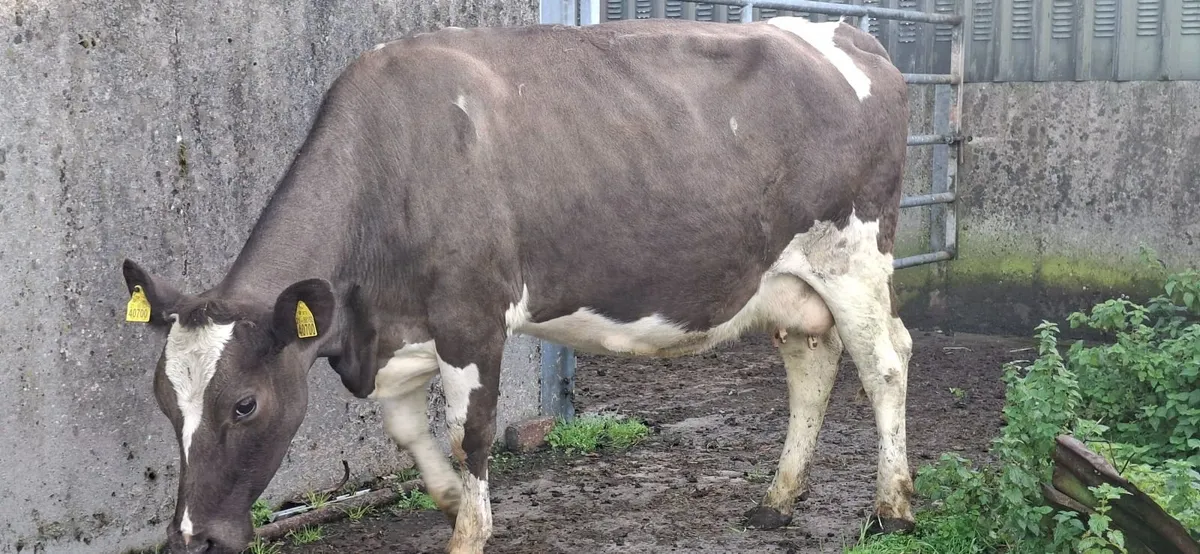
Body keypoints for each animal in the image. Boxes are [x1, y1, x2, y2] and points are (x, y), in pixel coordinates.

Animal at [120, 15, 913, 554]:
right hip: (787, 282)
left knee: (885, 363)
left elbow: (469, 433)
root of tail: (849, 33)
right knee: (811, 366)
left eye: (245, 404)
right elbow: (410, 430)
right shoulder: (398, 335)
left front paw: (470, 531)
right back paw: (778, 499)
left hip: (853, 257)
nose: (192, 538)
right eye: (163, 399)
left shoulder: (471, 319)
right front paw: (449, 502)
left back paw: (894, 506)